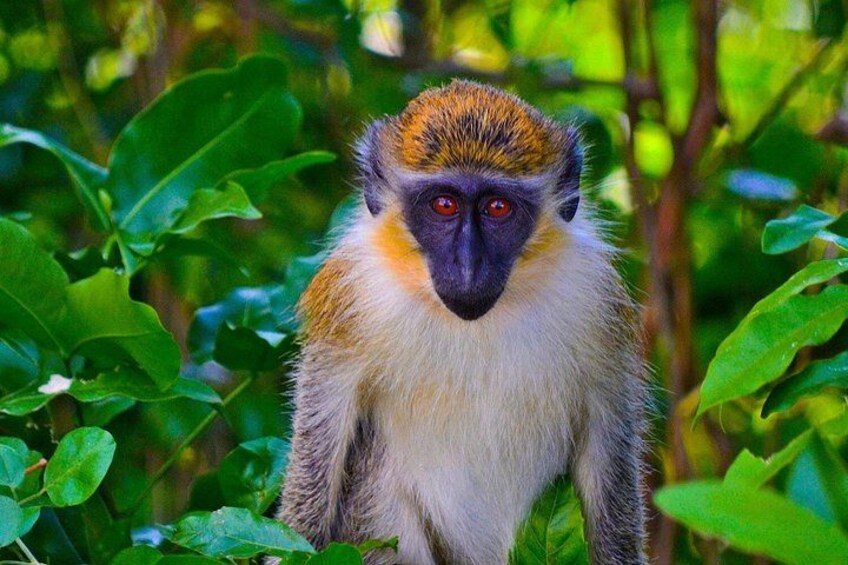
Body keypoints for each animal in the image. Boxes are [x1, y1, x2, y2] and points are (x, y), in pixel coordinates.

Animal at [276, 80, 648, 565]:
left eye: (498, 207)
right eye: (444, 204)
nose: (468, 264)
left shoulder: (598, 308)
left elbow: (610, 466)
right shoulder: (349, 301)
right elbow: (318, 460)